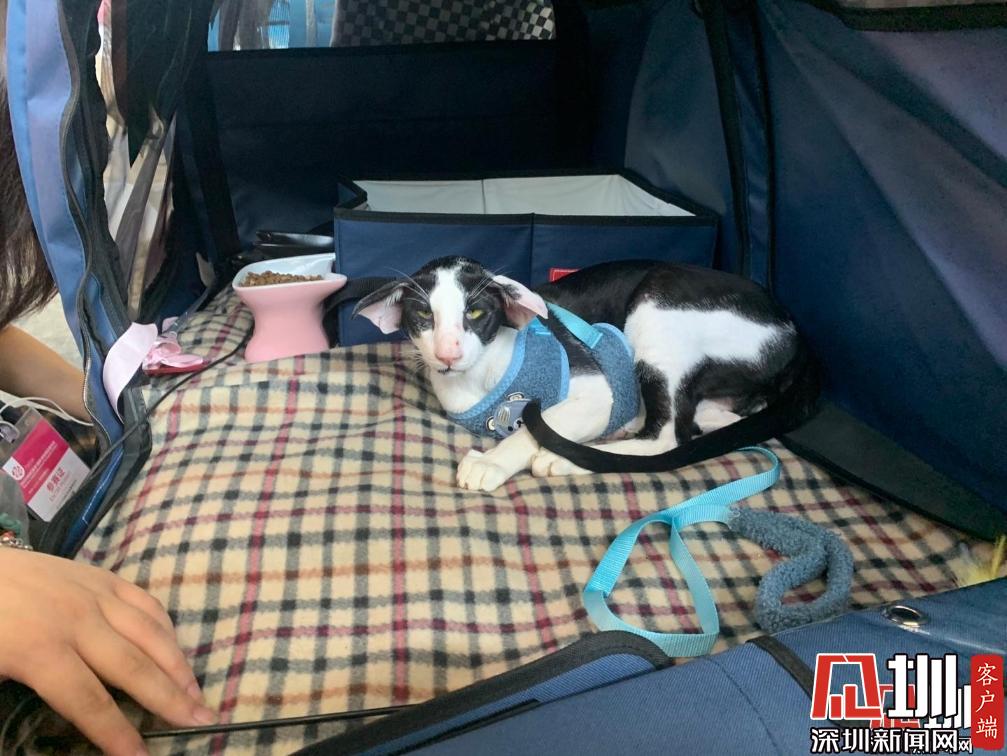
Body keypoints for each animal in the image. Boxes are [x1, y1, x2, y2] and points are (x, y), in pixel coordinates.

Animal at [353, 257, 811, 492]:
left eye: (476, 313)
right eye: (423, 315)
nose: (448, 352)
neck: (479, 377)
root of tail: (793, 328)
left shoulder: (598, 391)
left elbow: (533, 425)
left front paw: (494, 462)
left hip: (658, 302)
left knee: (667, 437)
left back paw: (564, 458)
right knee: (713, 419)